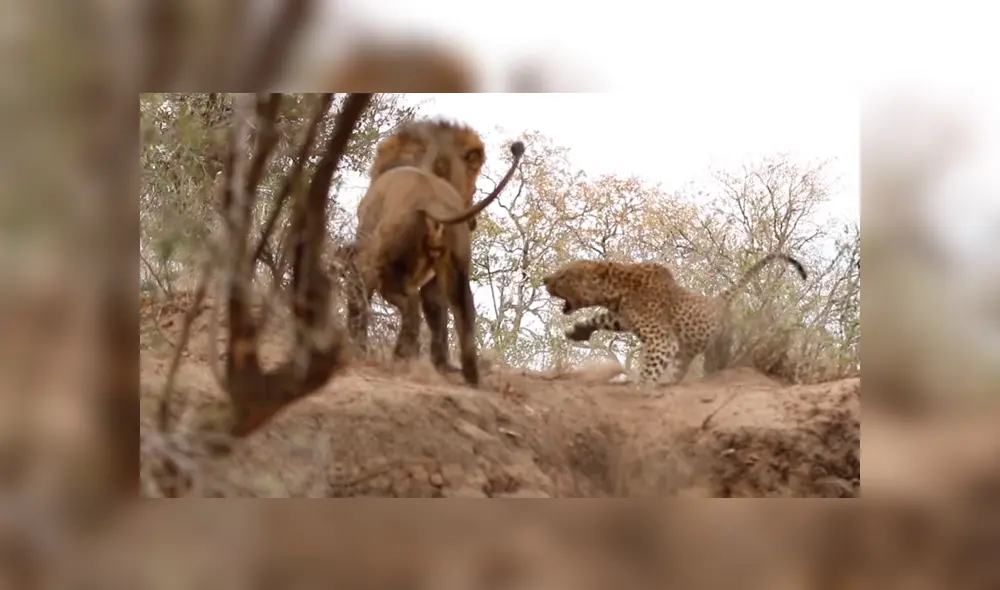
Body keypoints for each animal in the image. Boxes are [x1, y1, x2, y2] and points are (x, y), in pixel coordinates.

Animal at [342, 140, 525, 387]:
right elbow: (437, 310)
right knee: (463, 314)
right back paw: (470, 376)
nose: (473, 222)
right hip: (456, 270)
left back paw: (398, 356)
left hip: (382, 264)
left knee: (408, 305)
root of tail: (432, 202)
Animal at [541, 252, 808, 388]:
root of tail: (717, 301)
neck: (616, 289)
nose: (544, 279)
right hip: (685, 355)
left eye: (563, 275)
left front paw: (641, 388)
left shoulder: (662, 339)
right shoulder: (625, 318)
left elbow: (649, 370)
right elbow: (601, 319)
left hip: (717, 348)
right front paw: (577, 332)